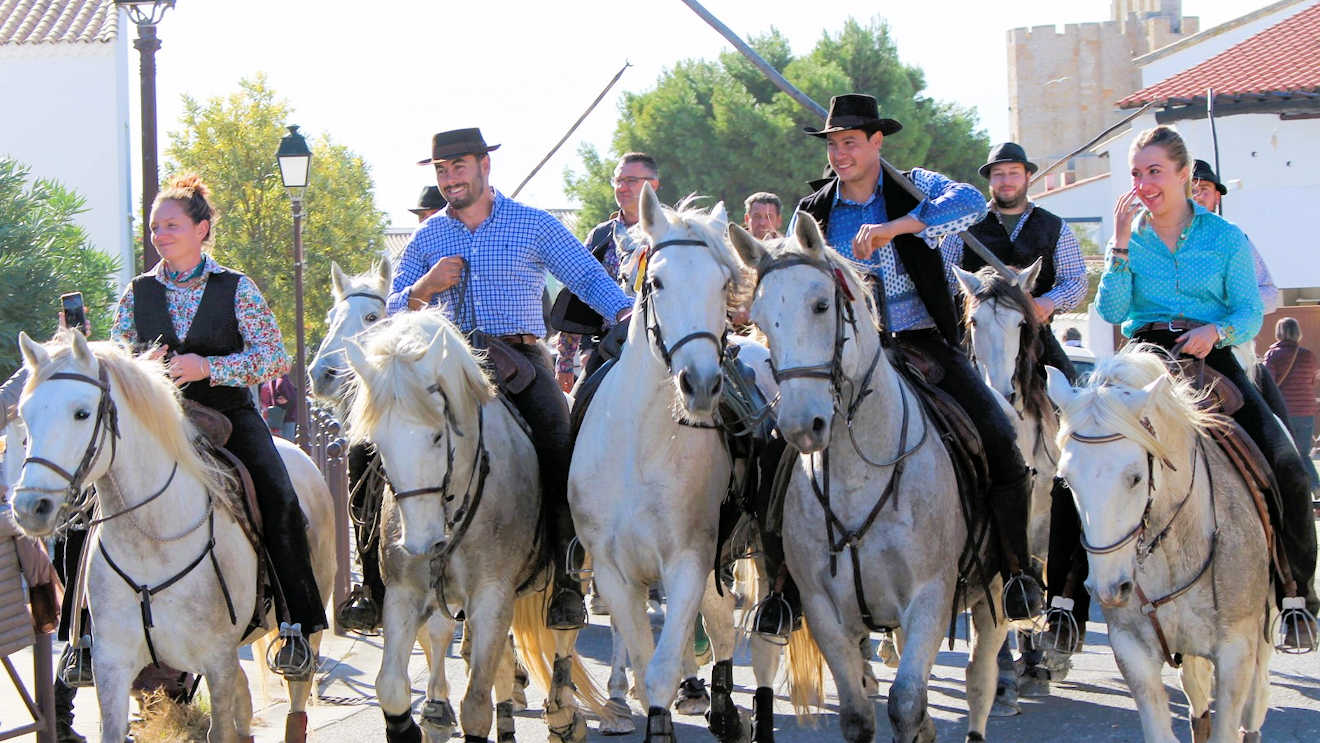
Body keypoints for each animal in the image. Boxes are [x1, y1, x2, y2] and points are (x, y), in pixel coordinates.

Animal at [14, 331, 335, 743]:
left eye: (81, 413)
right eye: (25, 415)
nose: (29, 507)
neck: (152, 541)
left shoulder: (217, 661)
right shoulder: (111, 664)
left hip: (308, 619)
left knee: (297, 692)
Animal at [340, 311, 607, 739]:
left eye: (437, 435)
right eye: (378, 442)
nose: (422, 544)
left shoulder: (490, 596)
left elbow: (476, 704)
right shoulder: (405, 593)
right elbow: (393, 687)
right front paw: (424, 718)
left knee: (564, 634)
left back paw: (562, 716)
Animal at [728, 215, 1003, 743]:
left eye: (821, 304)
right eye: (762, 317)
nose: (801, 425)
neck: (860, 479)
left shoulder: (930, 598)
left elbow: (907, 703)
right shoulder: (824, 609)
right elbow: (858, 713)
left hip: (995, 591)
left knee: (982, 674)